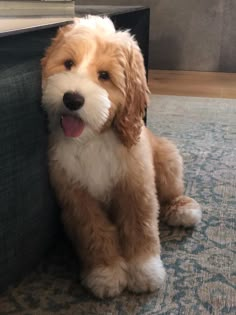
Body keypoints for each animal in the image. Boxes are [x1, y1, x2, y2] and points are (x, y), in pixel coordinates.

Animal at [41, 16, 201, 298]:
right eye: (68, 64)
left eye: (104, 76)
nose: (72, 99)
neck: (93, 138)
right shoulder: (76, 197)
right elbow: (93, 233)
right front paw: (105, 274)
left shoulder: (136, 188)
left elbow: (140, 228)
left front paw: (145, 271)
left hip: (168, 159)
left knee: (172, 192)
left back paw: (183, 209)